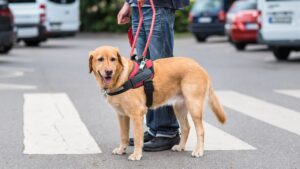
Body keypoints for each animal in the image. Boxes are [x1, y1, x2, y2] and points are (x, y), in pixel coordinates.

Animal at [89, 45, 225, 160]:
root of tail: (199, 66)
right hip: (179, 107)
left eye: (113, 59)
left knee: (200, 130)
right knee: (186, 127)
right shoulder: (122, 115)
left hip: (194, 106)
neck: (121, 78)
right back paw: (180, 146)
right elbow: (123, 135)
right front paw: (121, 149)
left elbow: (138, 138)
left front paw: (137, 154)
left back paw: (198, 151)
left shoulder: (136, 114)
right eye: (100, 59)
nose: (109, 71)